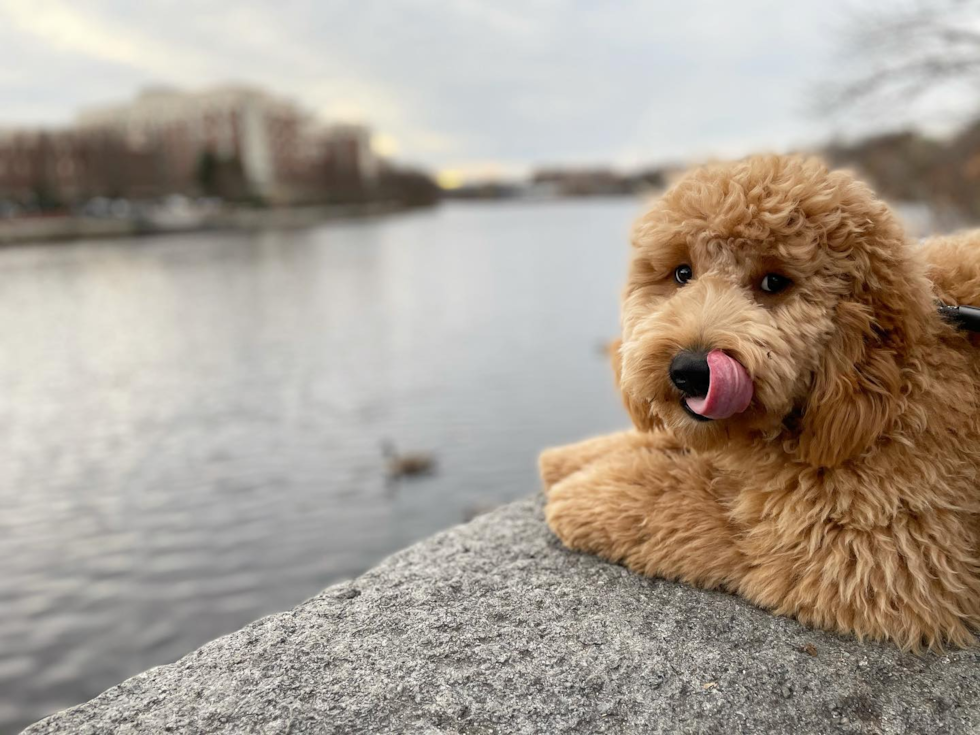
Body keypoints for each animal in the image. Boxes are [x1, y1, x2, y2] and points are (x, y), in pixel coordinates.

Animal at [540, 158, 980, 652]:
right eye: (681, 273)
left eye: (774, 282)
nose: (690, 370)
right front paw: (572, 458)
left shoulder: (890, 554)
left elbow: (713, 514)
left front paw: (590, 496)